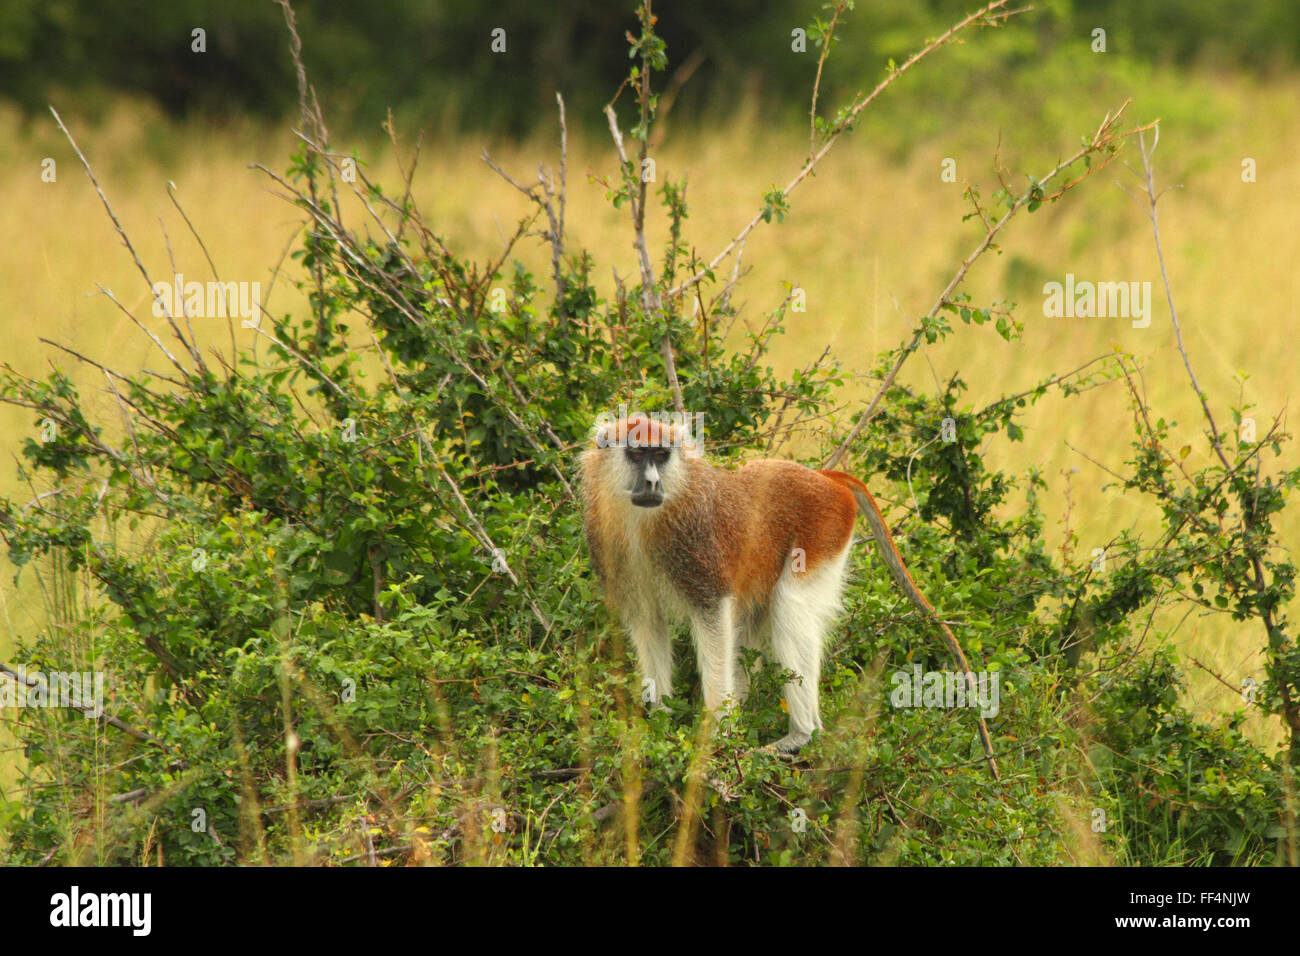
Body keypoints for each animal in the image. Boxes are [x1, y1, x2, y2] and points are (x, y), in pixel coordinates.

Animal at [585, 411, 998, 780]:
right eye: (637, 454)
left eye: (661, 454)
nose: (652, 482)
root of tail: (824, 479)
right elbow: (649, 624)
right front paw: (657, 724)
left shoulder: (698, 550)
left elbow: (714, 617)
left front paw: (715, 739)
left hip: (822, 533)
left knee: (790, 608)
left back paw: (800, 737)